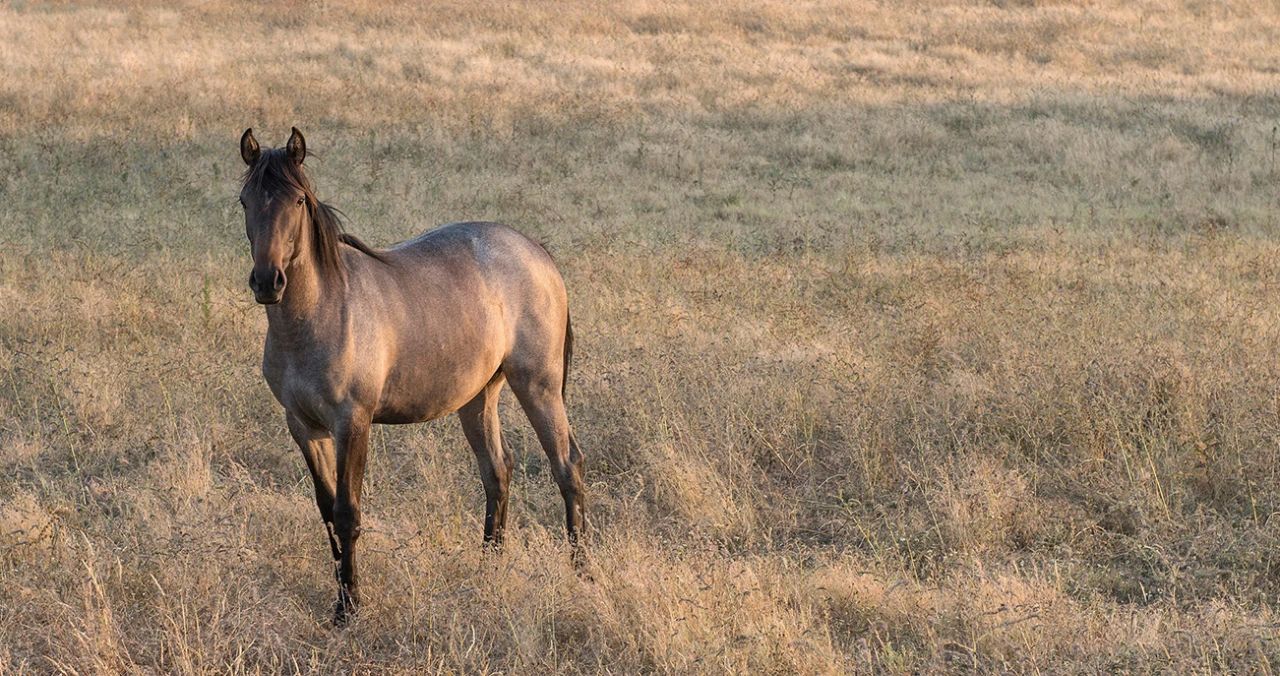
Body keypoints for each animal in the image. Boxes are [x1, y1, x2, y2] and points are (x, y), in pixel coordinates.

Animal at [235, 126, 586, 622]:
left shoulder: (352, 423)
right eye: (245, 200)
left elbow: (347, 512)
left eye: (298, 200)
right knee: (497, 470)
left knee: (567, 466)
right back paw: (489, 568)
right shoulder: (303, 427)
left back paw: (583, 572)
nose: (268, 281)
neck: (319, 313)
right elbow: (327, 512)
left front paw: (350, 608)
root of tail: (535, 250)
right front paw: (341, 597)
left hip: (539, 387)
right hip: (478, 398)